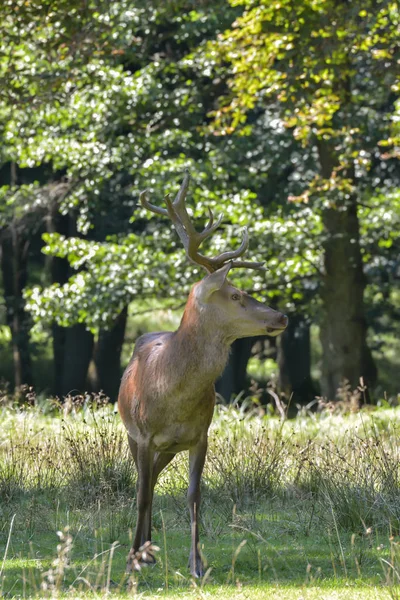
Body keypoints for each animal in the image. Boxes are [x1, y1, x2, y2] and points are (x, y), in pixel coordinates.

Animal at [117, 169, 290, 576]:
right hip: (133, 434)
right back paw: (141, 551)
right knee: (143, 486)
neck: (172, 393)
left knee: (154, 480)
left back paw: (149, 549)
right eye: (236, 295)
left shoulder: (200, 435)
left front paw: (197, 563)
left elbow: (194, 496)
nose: (282, 316)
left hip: (169, 448)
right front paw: (132, 559)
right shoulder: (144, 435)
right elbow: (142, 496)